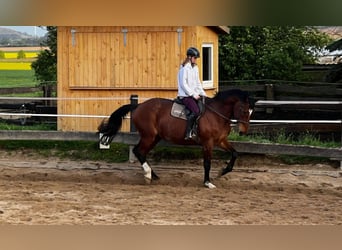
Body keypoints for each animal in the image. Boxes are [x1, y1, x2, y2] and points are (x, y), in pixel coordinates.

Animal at [99, 89, 254, 188]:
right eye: (244, 110)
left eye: (251, 112)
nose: (243, 132)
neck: (217, 114)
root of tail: (139, 106)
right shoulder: (208, 143)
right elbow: (207, 163)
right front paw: (207, 182)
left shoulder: (220, 141)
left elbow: (235, 153)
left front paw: (222, 171)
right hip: (149, 136)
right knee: (138, 151)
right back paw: (148, 175)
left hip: (154, 137)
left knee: (141, 152)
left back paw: (153, 175)